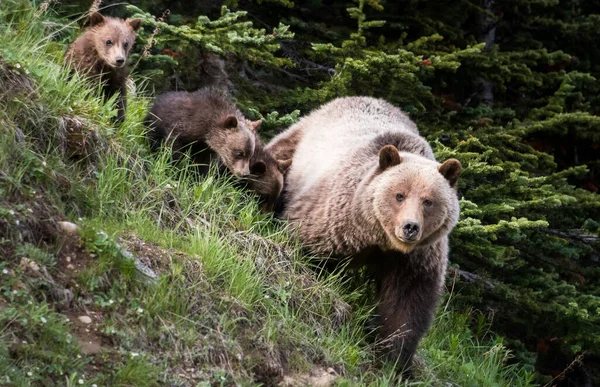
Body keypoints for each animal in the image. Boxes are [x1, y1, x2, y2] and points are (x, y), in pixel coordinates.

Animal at [268, 97, 464, 372]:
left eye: (428, 201)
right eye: (399, 195)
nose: (410, 227)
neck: (378, 240)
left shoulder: (416, 259)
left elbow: (407, 305)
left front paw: (393, 360)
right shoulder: (334, 218)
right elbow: (306, 246)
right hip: (299, 143)